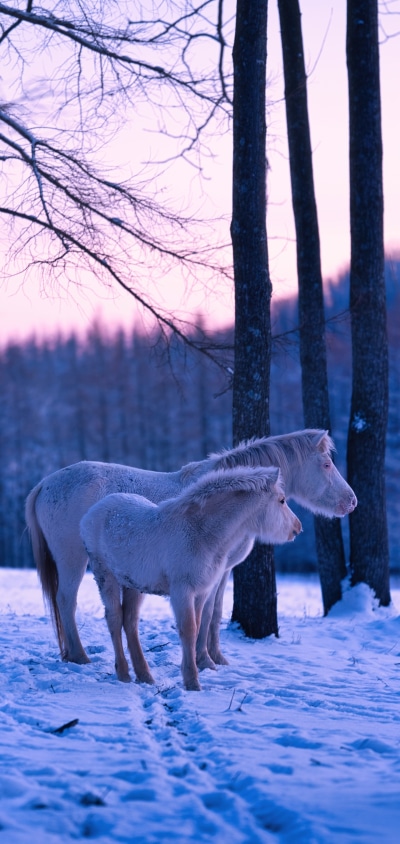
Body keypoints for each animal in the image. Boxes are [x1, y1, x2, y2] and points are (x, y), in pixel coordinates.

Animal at [25, 429, 357, 666]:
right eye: (327, 464)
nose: (352, 502)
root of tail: (45, 483)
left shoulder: (222, 571)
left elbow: (216, 611)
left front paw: (216, 658)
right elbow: (206, 613)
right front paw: (204, 660)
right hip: (73, 559)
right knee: (66, 600)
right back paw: (80, 656)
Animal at [79, 466, 302, 690]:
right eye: (282, 500)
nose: (298, 527)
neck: (201, 533)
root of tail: (93, 511)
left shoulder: (201, 591)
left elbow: (198, 626)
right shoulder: (182, 592)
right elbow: (188, 629)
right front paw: (192, 682)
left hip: (132, 585)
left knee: (130, 622)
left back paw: (145, 676)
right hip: (105, 577)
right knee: (115, 619)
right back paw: (124, 674)